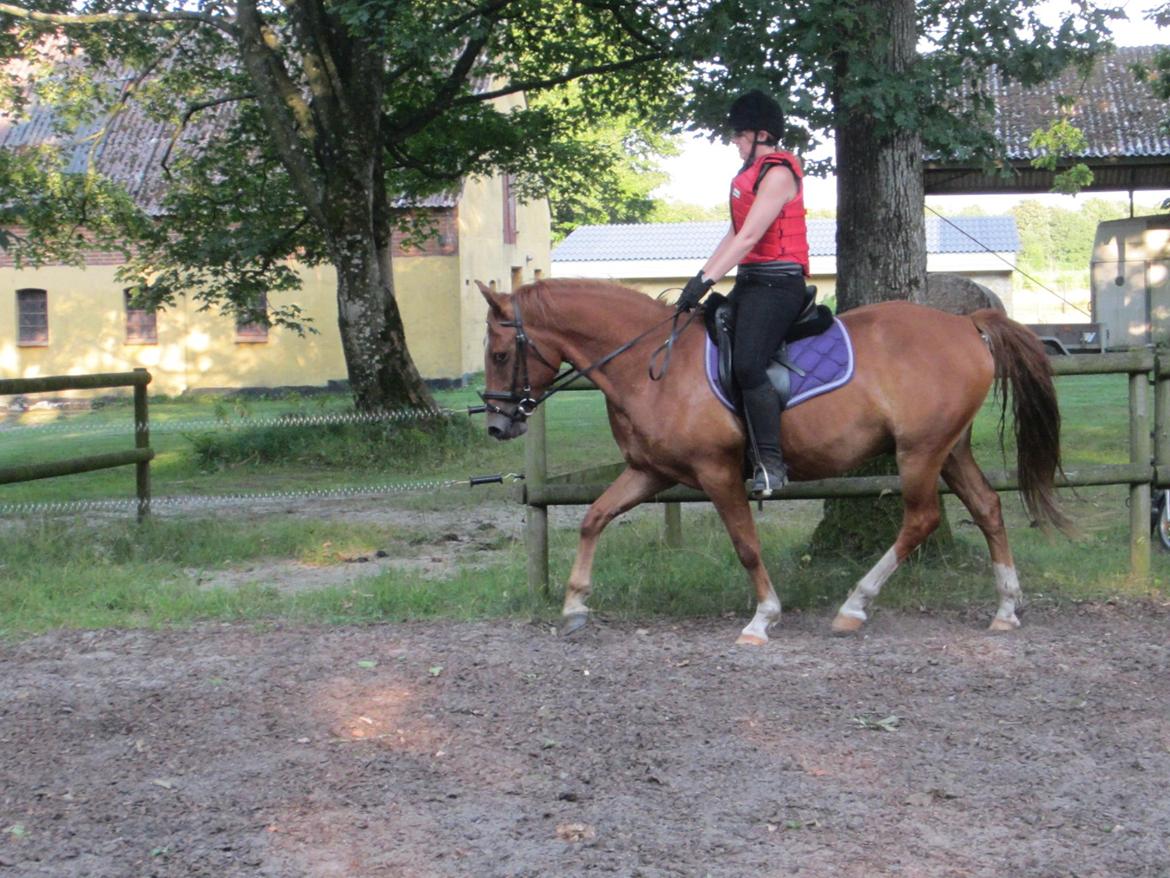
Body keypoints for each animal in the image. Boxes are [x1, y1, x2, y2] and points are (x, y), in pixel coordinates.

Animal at [477, 279, 1071, 646]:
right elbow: (593, 517)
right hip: (950, 448)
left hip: (919, 452)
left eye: (500, 354)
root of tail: (966, 323)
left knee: (921, 519)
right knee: (989, 508)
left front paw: (763, 618)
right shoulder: (650, 472)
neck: (652, 365)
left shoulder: (716, 473)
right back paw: (1005, 608)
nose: (498, 427)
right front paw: (575, 607)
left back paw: (854, 606)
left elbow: (745, 545)